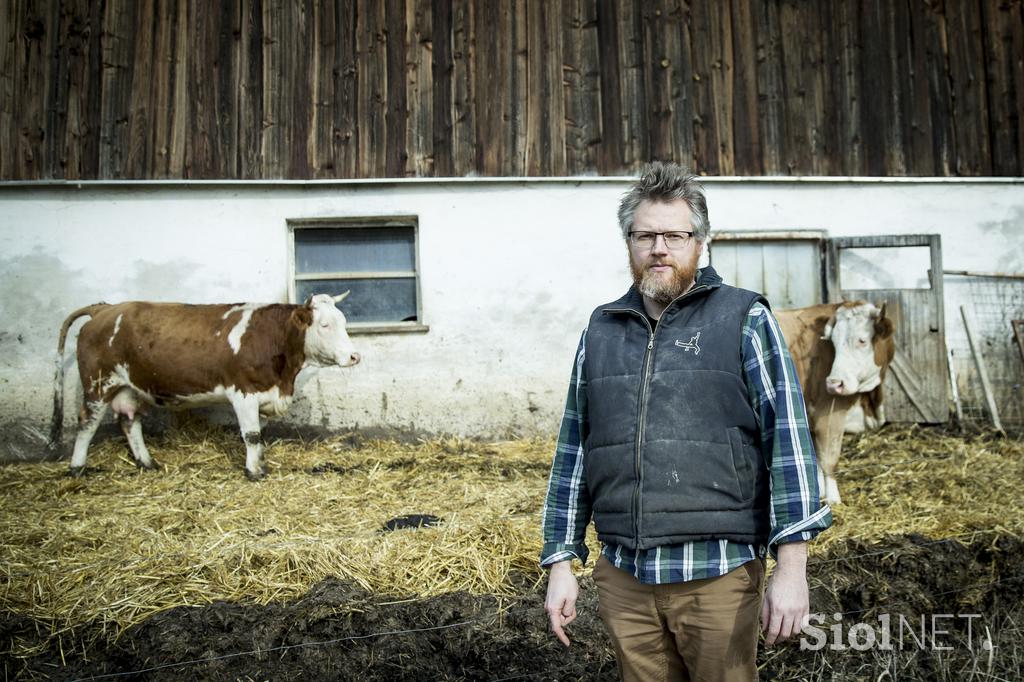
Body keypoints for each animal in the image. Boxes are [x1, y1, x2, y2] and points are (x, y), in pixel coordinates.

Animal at [48, 292, 360, 477]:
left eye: (343, 322)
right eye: (324, 325)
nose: (354, 356)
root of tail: (105, 309)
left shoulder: (262, 394)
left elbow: (259, 435)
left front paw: (260, 463)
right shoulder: (243, 393)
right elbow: (251, 435)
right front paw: (254, 471)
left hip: (129, 386)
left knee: (129, 421)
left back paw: (147, 463)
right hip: (98, 383)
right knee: (87, 423)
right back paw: (77, 467)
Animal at [778, 301, 892, 501]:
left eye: (862, 340)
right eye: (834, 342)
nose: (834, 383)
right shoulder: (828, 413)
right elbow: (828, 459)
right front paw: (833, 499)